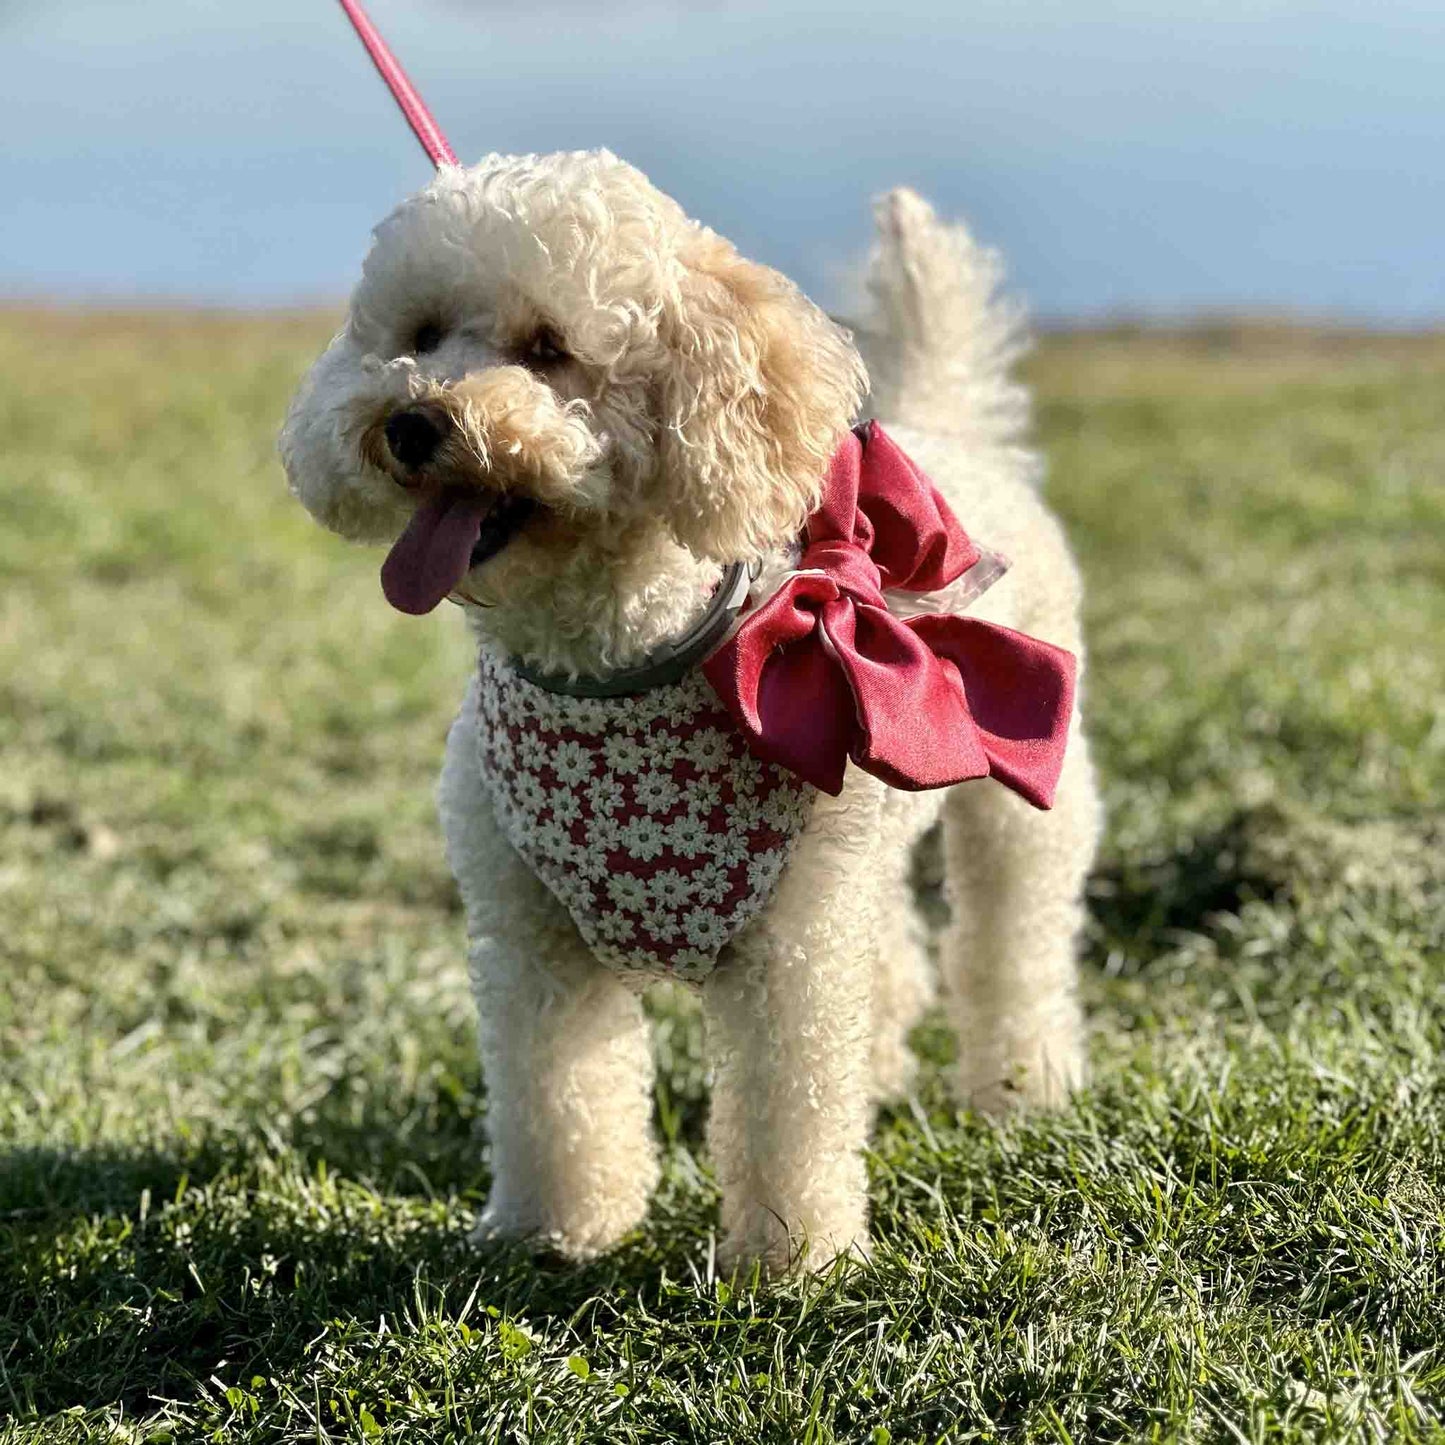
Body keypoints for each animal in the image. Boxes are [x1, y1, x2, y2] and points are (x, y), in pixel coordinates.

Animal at [278, 146, 1092, 1277]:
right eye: (422, 333)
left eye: (549, 349)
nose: (410, 421)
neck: (610, 664)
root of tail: (950, 428)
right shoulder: (531, 936)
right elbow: (556, 1095)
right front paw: (552, 1231)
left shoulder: (788, 955)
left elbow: (787, 1114)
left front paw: (793, 1263)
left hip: (1026, 799)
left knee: (1015, 940)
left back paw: (1022, 1086)